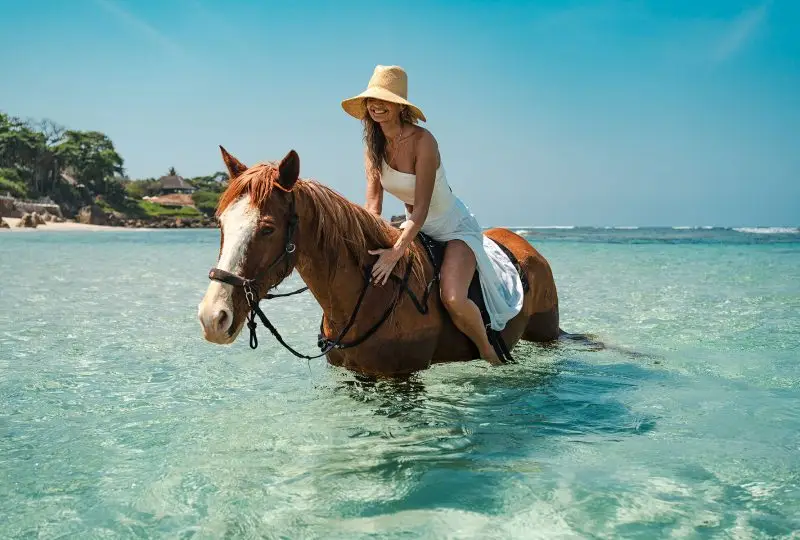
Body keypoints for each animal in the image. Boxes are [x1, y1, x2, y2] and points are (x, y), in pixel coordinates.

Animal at [197, 147, 562, 377]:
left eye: (268, 228)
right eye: (220, 223)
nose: (212, 318)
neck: (369, 293)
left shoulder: (400, 377)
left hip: (547, 335)